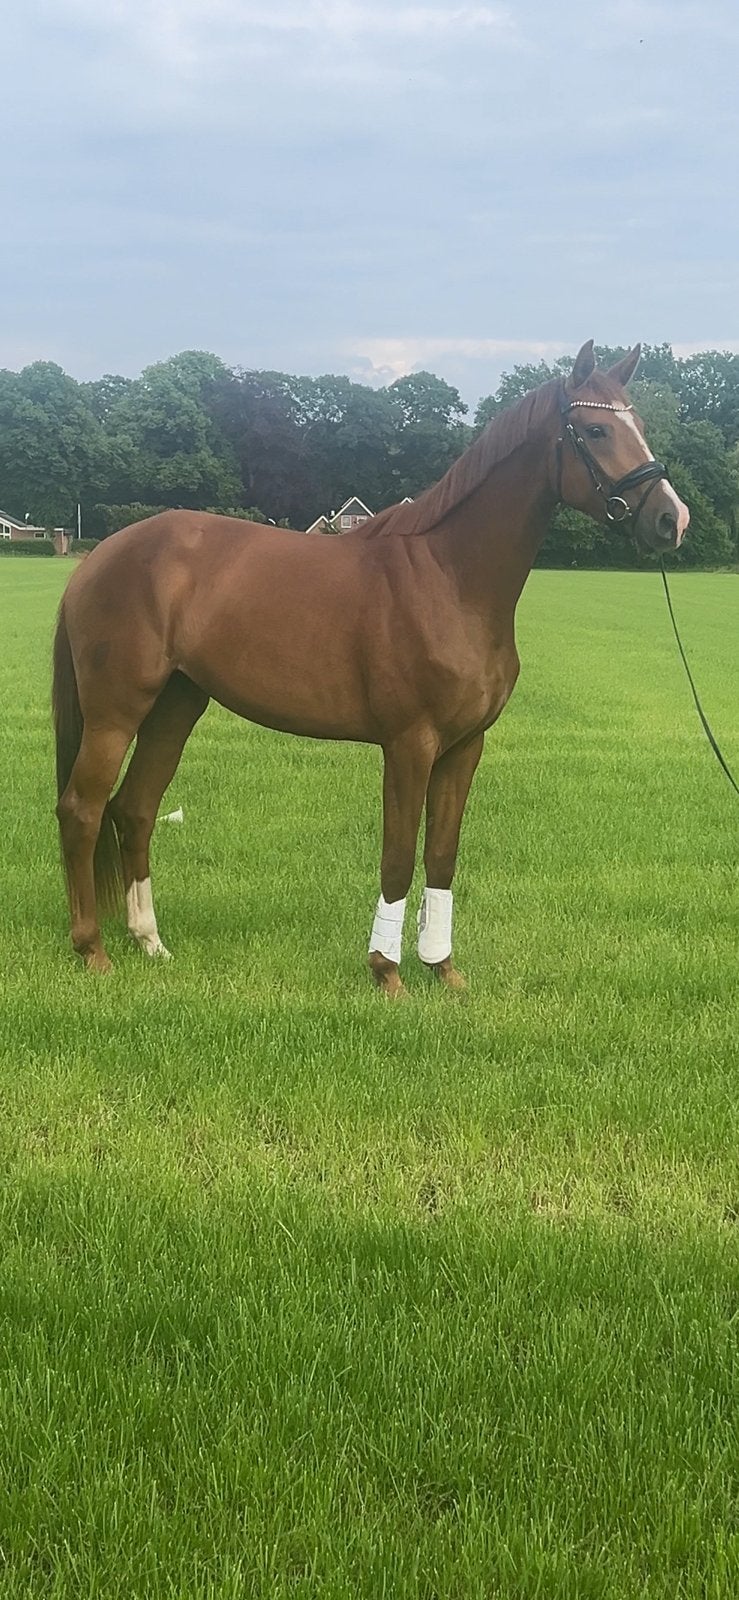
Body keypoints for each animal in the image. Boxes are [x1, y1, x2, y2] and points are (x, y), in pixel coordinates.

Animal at [52, 340, 689, 992]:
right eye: (596, 429)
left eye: (640, 426)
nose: (673, 518)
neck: (450, 578)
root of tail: (99, 556)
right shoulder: (410, 744)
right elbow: (398, 856)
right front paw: (387, 972)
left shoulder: (465, 747)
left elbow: (441, 855)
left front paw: (444, 970)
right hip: (116, 712)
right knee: (82, 810)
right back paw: (92, 950)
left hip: (175, 705)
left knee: (134, 809)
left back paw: (150, 942)